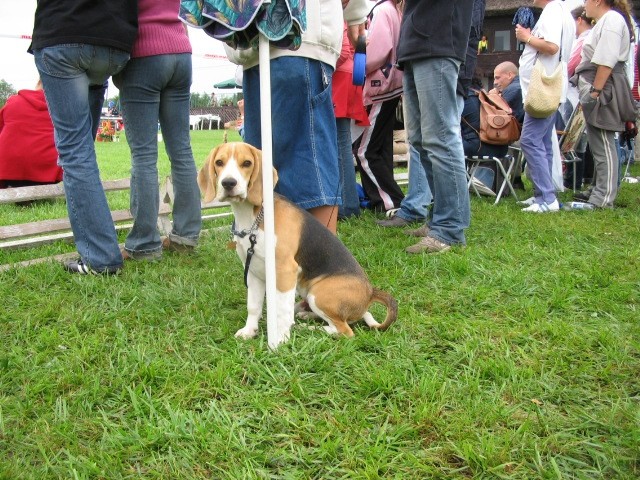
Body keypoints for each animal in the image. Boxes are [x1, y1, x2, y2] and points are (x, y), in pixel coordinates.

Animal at [198, 142, 398, 342]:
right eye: (219, 162)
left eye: (247, 163)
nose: (228, 183)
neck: (252, 217)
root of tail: (370, 293)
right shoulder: (253, 271)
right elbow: (253, 306)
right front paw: (249, 331)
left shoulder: (286, 271)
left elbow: (282, 312)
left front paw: (280, 340)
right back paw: (306, 316)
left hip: (319, 293)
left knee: (344, 330)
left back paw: (307, 328)